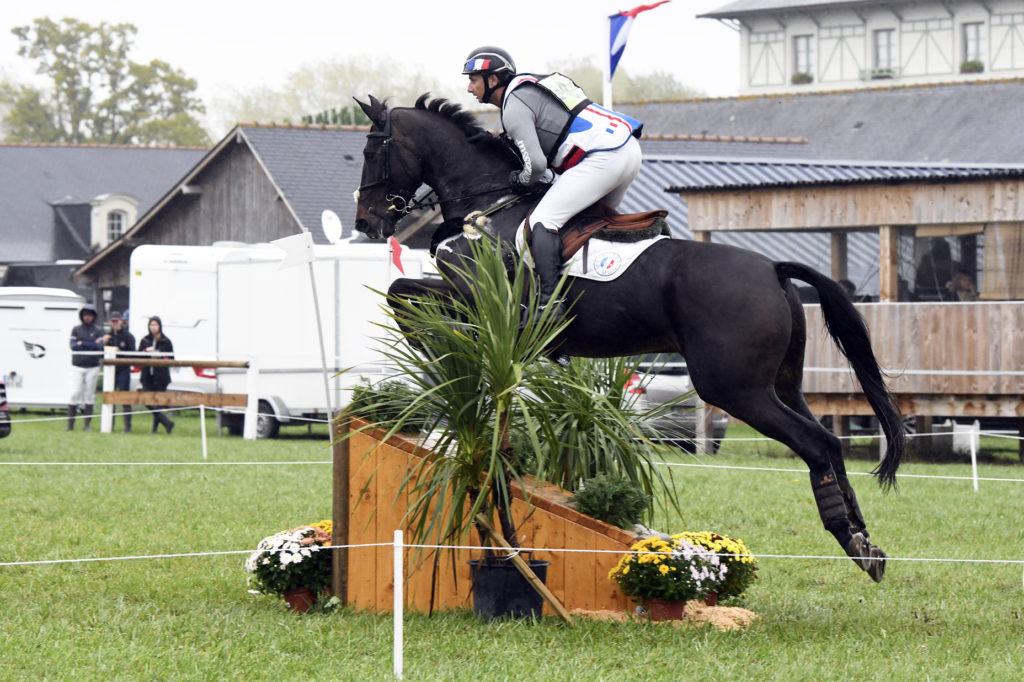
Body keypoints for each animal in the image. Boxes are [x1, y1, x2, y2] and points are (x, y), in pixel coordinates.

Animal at [354, 93, 905, 577]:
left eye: (370, 151)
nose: (366, 221)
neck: (489, 206)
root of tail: (773, 268)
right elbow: (403, 294)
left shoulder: (470, 293)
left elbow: (401, 293)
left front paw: (434, 352)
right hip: (780, 384)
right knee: (829, 444)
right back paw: (865, 542)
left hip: (734, 388)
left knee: (816, 443)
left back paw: (853, 541)